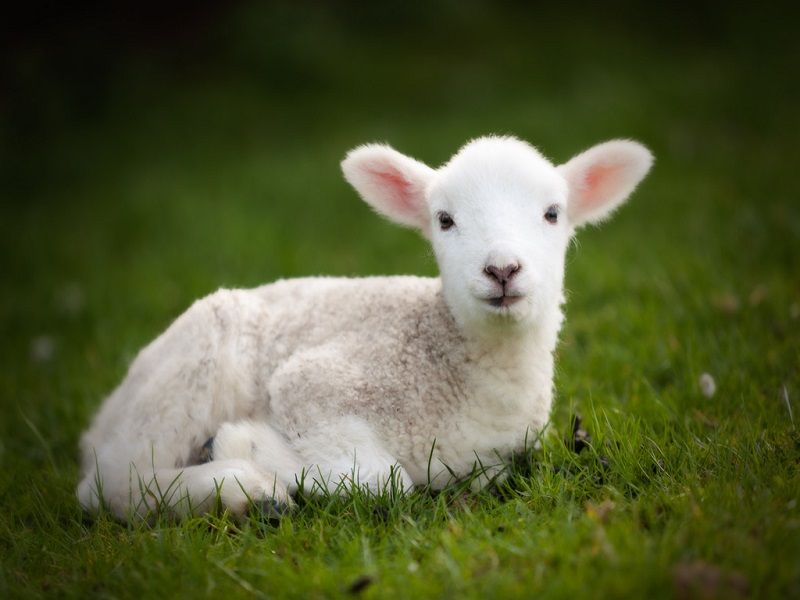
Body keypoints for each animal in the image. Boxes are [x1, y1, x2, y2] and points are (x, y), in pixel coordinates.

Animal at [75, 135, 652, 520]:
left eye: (553, 213)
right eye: (444, 220)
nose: (502, 270)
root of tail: (100, 420)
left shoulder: (497, 461)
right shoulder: (316, 381)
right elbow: (381, 482)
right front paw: (250, 449)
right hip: (187, 372)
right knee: (111, 484)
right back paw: (244, 488)